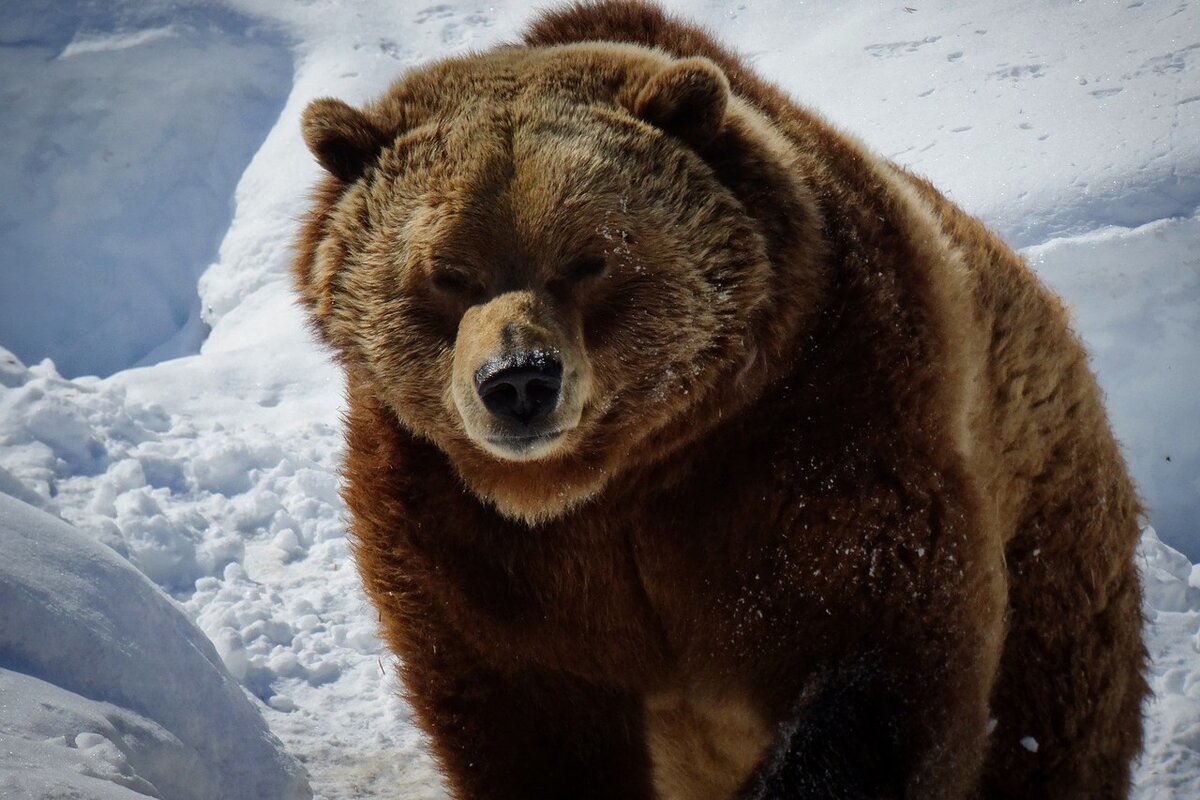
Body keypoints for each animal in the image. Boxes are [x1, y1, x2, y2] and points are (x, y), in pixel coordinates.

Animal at [291, 2, 1148, 798]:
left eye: (590, 259)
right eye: (447, 272)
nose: (520, 380)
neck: (611, 479)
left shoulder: (813, 428)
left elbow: (883, 642)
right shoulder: (462, 532)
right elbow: (518, 718)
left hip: (1047, 525)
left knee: (1050, 720)